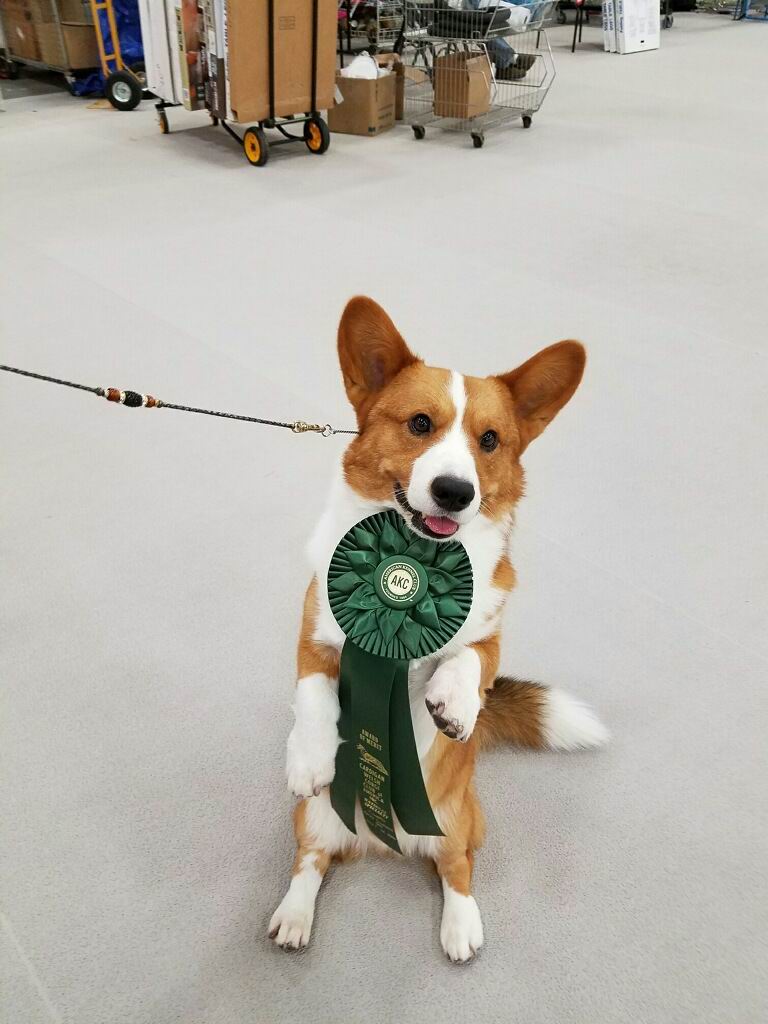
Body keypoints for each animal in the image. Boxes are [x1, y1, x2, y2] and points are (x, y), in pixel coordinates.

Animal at [269, 296, 608, 962]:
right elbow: (314, 694)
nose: (455, 492)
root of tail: (383, 841)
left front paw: (452, 703)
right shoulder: (314, 636)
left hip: (459, 821)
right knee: (311, 862)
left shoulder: (490, 637)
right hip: (315, 819)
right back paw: (293, 916)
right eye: (420, 424)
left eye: (490, 440)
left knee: (457, 868)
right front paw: (310, 757)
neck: (414, 557)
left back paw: (461, 927)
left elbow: (469, 660)